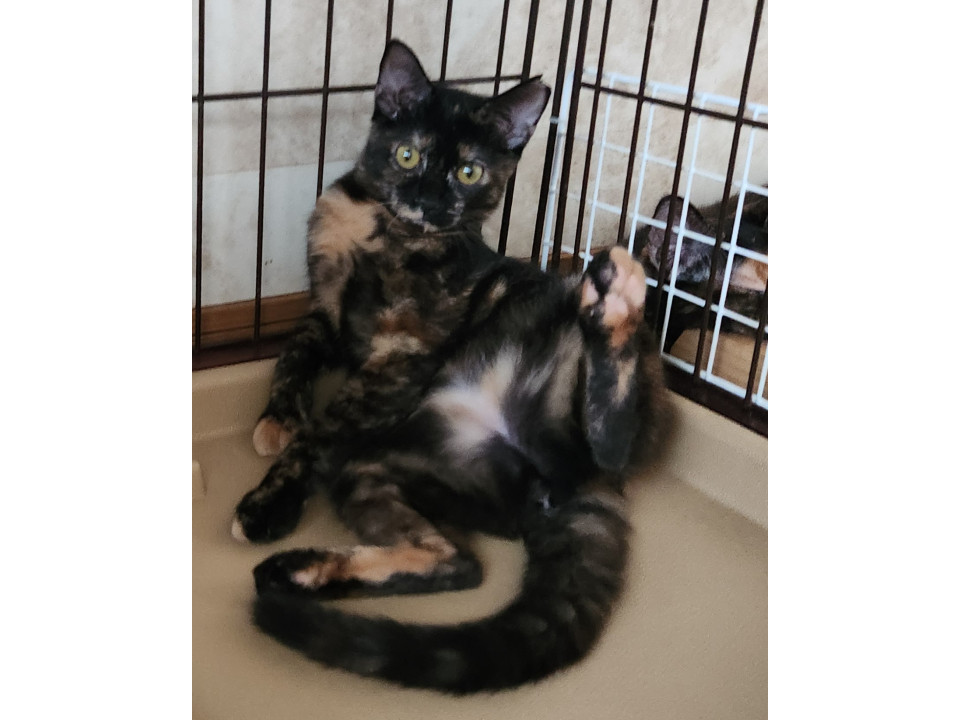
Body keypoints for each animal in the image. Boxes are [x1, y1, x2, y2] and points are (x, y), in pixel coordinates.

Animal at [231, 40, 669, 694]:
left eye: (470, 172)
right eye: (408, 153)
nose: (431, 201)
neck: (386, 232)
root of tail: (588, 491)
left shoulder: (402, 353)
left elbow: (321, 434)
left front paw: (267, 503)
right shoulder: (326, 312)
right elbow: (291, 357)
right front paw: (277, 419)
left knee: (607, 440)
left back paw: (617, 296)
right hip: (375, 474)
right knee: (458, 564)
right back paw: (301, 573)